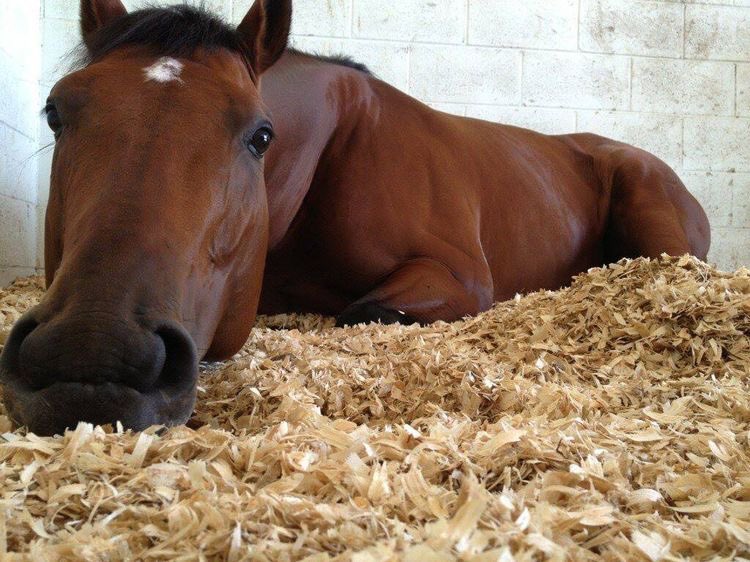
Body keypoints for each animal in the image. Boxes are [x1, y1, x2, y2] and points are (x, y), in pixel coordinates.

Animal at [0, 0, 710, 436]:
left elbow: (360, 311)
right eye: (56, 112)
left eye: (260, 135)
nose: (90, 356)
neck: (332, 151)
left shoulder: (457, 278)